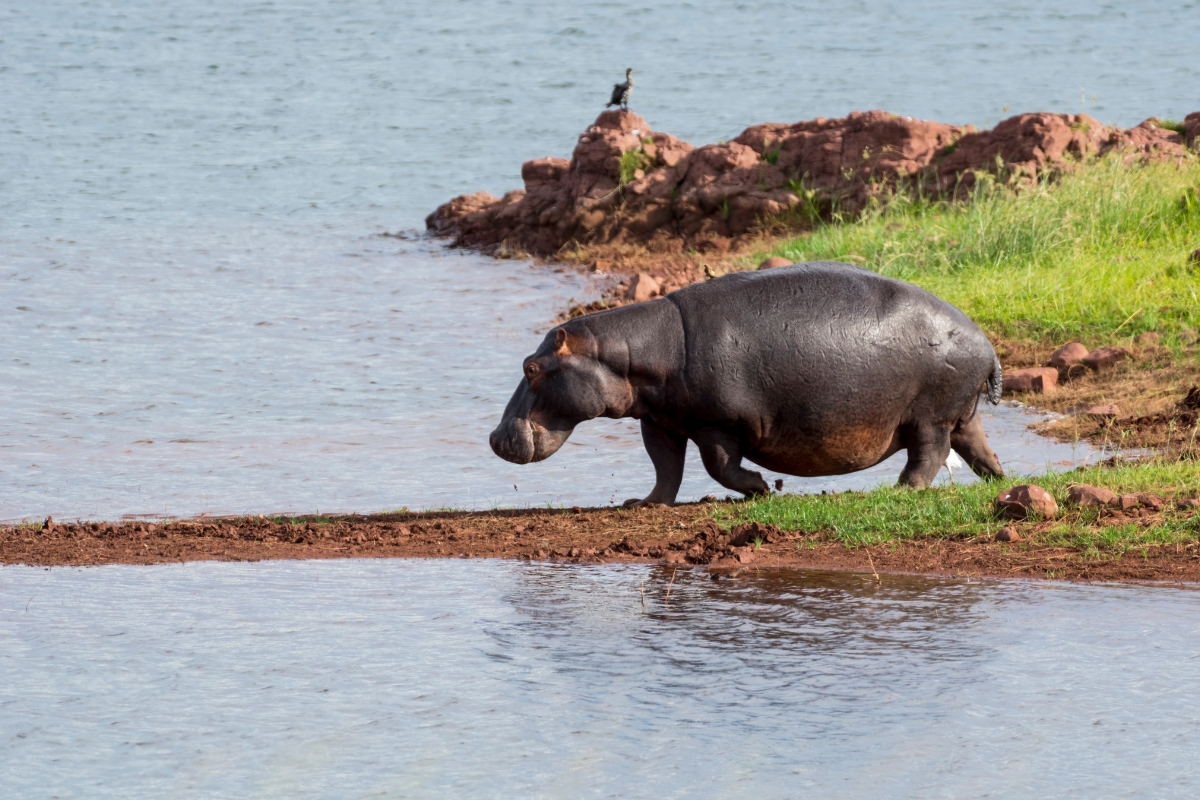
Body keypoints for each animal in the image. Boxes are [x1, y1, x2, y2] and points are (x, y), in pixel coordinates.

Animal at [489, 261, 1003, 504]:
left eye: (530, 368)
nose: (494, 438)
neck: (637, 353)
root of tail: (986, 342)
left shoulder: (718, 424)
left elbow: (719, 465)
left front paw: (760, 488)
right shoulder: (660, 421)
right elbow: (665, 468)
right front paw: (642, 504)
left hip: (930, 416)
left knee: (929, 454)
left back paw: (902, 490)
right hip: (963, 413)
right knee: (979, 448)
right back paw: (1002, 480)